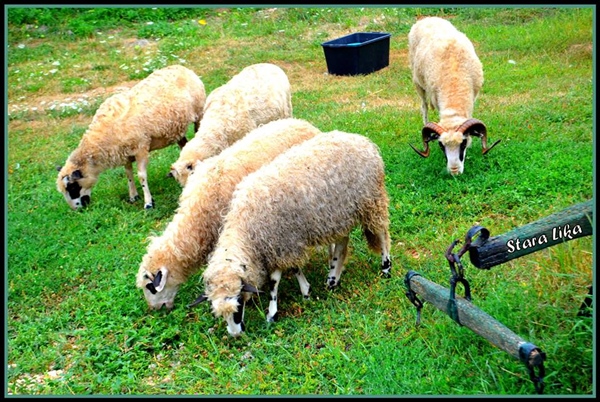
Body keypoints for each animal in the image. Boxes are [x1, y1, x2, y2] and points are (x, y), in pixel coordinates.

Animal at [56, 64, 206, 210]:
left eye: (72, 187)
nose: (77, 210)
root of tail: (182, 67)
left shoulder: (141, 148)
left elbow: (141, 176)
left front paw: (148, 203)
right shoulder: (124, 154)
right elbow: (128, 173)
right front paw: (133, 196)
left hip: (199, 114)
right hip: (177, 129)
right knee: (184, 145)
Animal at [190, 130, 392, 338]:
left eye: (238, 304)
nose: (235, 334)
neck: (247, 228)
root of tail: (361, 140)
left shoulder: (284, 242)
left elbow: (275, 280)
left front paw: (275, 312)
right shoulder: (282, 244)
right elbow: (294, 269)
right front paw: (306, 290)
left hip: (372, 202)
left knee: (382, 234)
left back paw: (385, 268)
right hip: (340, 214)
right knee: (342, 243)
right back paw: (332, 279)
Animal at [407, 16, 500, 175]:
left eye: (463, 143)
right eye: (441, 145)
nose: (454, 172)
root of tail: (427, 18)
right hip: (418, 84)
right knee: (424, 107)